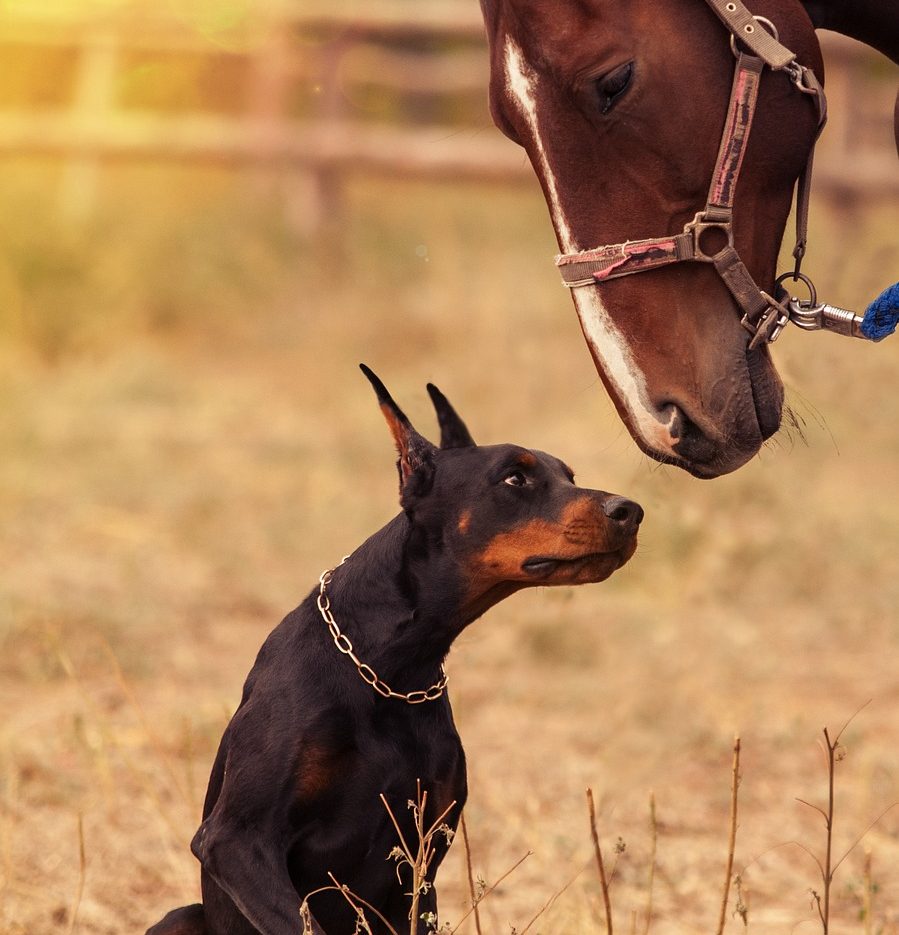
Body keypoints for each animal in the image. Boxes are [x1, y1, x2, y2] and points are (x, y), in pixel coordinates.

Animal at [148, 366, 644, 935]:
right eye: (514, 478)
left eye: (568, 476)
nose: (631, 511)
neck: (393, 665)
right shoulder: (238, 840)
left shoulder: (424, 853)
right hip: (182, 916)